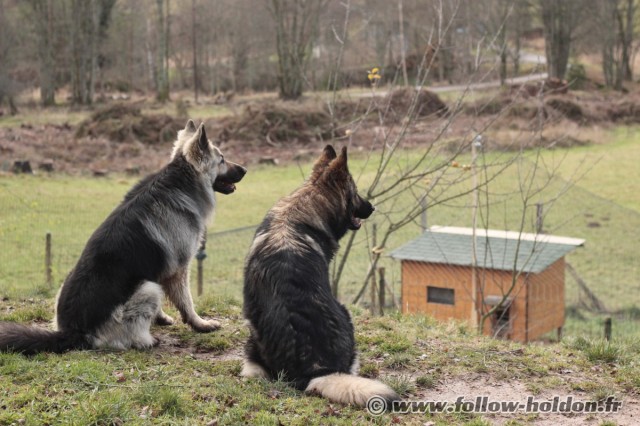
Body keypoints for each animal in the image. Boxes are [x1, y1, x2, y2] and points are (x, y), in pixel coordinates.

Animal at [0, 120, 246, 352]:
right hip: (148, 289)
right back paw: (147, 340)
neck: (182, 180)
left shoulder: (159, 269)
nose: (245, 169)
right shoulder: (178, 270)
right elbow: (187, 302)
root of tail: (72, 331)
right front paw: (200, 324)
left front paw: (161, 318)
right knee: (130, 336)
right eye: (222, 160)